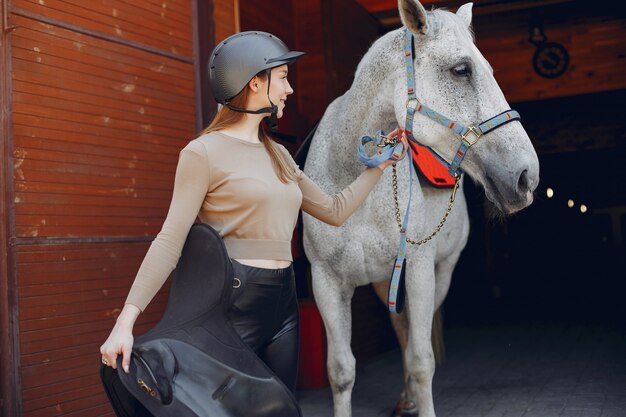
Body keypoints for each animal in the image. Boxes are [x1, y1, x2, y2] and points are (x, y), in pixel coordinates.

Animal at [300, 1, 540, 414]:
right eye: (461, 69)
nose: (527, 176)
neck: (351, 184)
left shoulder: (419, 272)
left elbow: (421, 359)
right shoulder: (326, 281)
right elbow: (341, 371)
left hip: (438, 275)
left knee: (412, 336)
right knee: (402, 330)